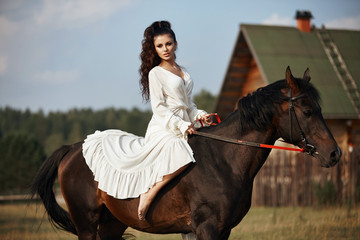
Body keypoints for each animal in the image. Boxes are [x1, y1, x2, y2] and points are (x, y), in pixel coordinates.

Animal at [31, 66, 340, 239]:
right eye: (308, 111)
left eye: (319, 108)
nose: (334, 154)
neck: (224, 161)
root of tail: (74, 148)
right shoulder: (207, 229)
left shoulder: (223, 230)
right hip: (86, 224)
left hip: (111, 225)